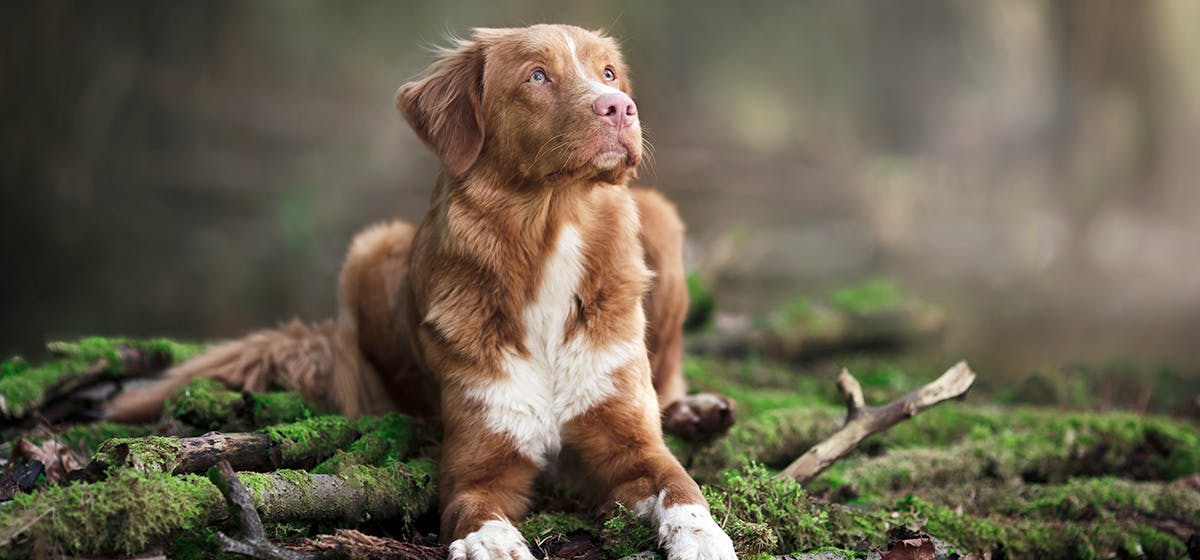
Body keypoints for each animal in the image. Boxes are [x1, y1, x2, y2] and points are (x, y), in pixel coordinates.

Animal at [105, 24, 729, 560]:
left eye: (608, 73)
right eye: (536, 76)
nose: (619, 106)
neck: (551, 235)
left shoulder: (632, 444)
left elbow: (683, 488)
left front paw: (705, 537)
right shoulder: (477, 465)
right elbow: (476, 507)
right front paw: (493, 543)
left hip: (660, 219)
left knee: (669, 377)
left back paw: (697, 411)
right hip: (369, 250)